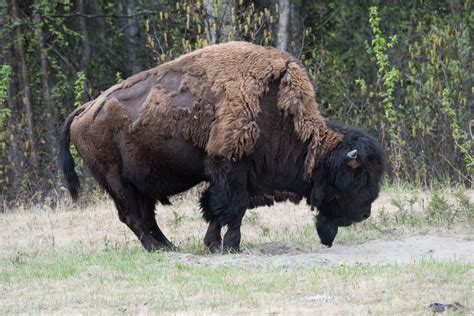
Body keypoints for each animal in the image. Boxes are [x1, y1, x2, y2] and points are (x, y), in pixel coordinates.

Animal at [59, 41, 386, 252]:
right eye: (357, 176)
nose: (364, 214)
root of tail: (85, 109)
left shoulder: (240, 176)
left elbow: (220, 210)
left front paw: (213, 244)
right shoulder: (231, 168)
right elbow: (231, 208)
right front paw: (230, 246)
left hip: (138, 183)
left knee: (145, 215)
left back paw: (169, 246)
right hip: (116, 181)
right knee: (133, 216)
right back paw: (157, 248)